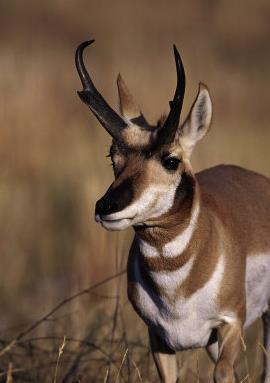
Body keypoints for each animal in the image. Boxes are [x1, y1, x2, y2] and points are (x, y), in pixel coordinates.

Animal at [75, 40, 270, 382]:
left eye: (171, 160)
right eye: (113, 157)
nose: (106, 207)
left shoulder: (231, 326)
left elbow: (223, 374)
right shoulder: (159, 338)